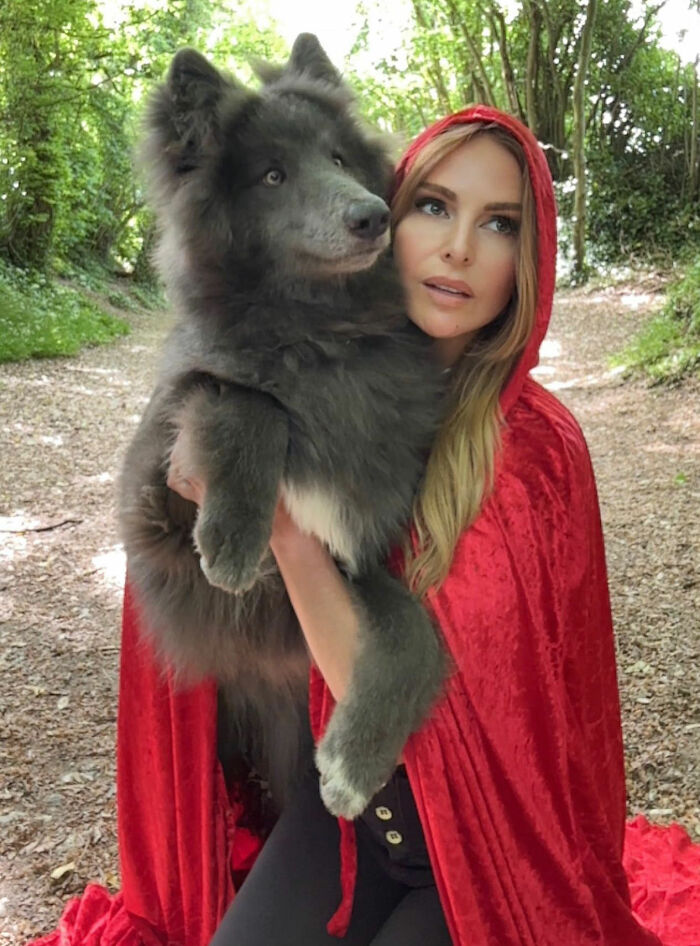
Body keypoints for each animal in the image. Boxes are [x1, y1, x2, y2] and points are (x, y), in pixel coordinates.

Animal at [119, 34, 447, 821]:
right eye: (272, 175)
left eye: (338, 158)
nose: (372, 216)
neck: (320, 339)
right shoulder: (153, 502)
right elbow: (248, 403)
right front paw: (233, 537)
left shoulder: (357, 554)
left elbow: (416, 639)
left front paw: (355, 765)